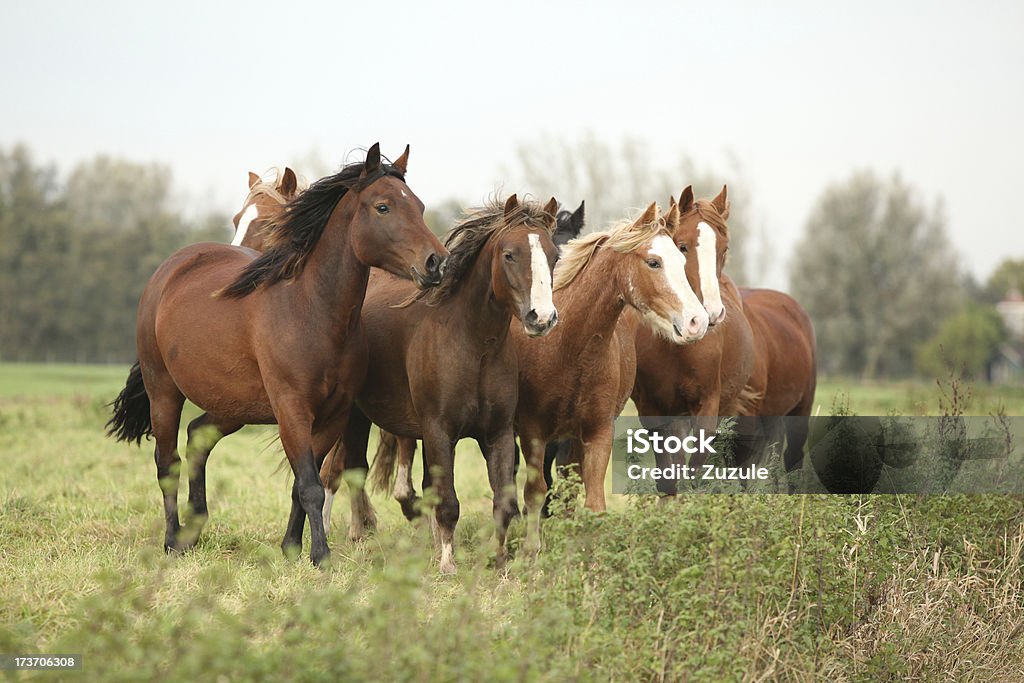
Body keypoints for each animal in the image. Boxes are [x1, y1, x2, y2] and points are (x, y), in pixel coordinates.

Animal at [104, 144, 452, 565]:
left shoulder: (334, 414)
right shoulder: (292, 409)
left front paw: (291, 548)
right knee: (167, 463)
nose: (436, 262)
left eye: (418, 206)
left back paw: (195, 528)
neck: (311, 310)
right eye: (383, 207)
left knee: (198, 436)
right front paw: (320, 555)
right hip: (164, 393)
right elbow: (311, 485)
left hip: (231, 404)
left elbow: (306, 483)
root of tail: (170, 269)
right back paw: (172, 540)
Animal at [317, 192, 561, 573]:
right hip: (350, 415)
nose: (542, 318)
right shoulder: (437, 430)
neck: (473, 343)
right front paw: (448, 563)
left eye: (554, 255)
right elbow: (448, 501)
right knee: (341, 470)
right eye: (509, 254)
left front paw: (499, 561)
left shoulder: (498, 434)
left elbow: (502, 503)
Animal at [622, 184, 761, 493]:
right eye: (682, 246)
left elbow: (693, 475)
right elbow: (668, 479)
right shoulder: (654, 413)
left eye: (724, 248)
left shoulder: (707, 407)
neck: (676, 348)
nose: (711, 313)